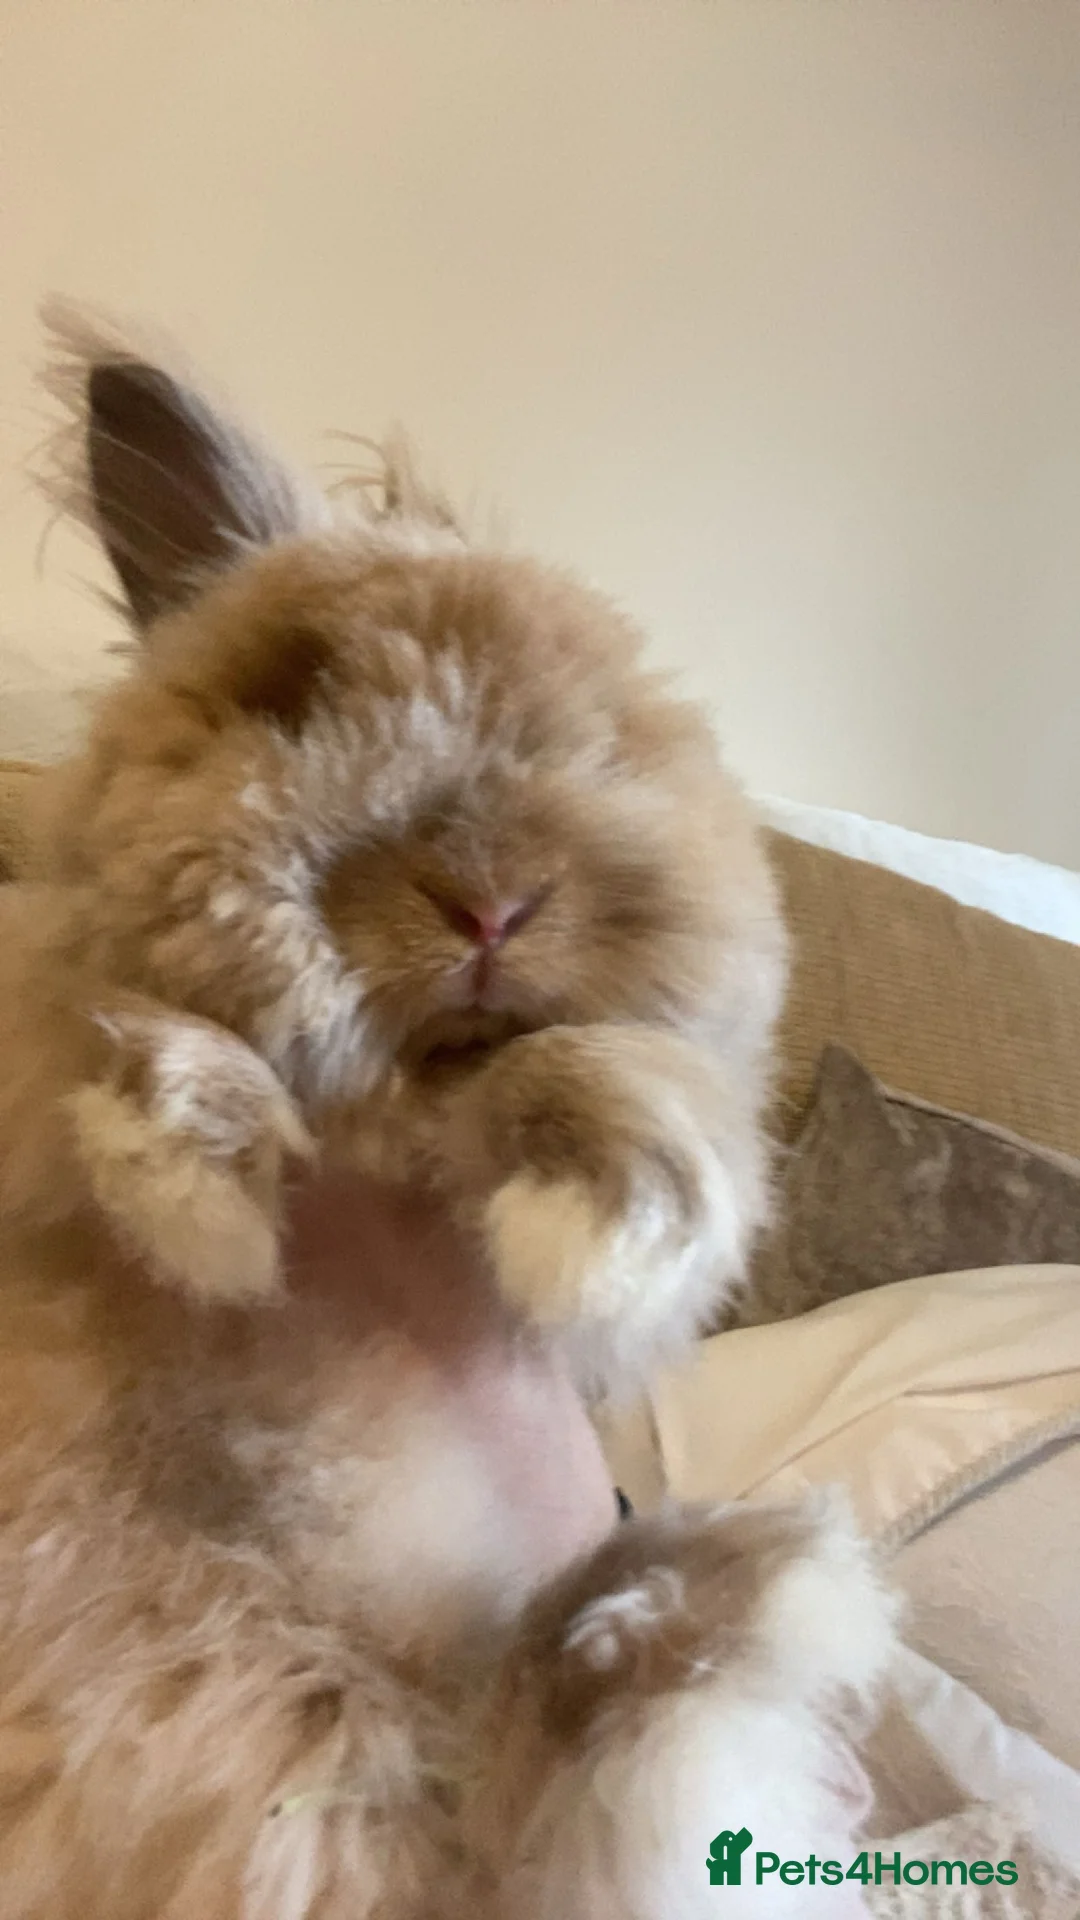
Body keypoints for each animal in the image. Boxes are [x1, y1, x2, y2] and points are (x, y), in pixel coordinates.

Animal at [0, 312, 893, 1918]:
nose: (491, 899)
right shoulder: (29, 1062)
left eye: (606, 740)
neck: (406, 1127)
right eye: (291, 698)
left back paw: (726, 1598)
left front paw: (597, 1207)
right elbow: (101, 1053)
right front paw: (195, 1165)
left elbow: (642, 1112)